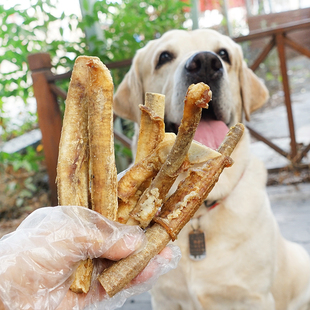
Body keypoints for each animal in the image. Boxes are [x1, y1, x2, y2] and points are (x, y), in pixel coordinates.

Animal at [112, 29, 310, 310]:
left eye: (224, 54)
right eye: (164, 57)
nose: (205, 62)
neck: (199, 219)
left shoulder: (254, 297)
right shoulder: (164, 299)